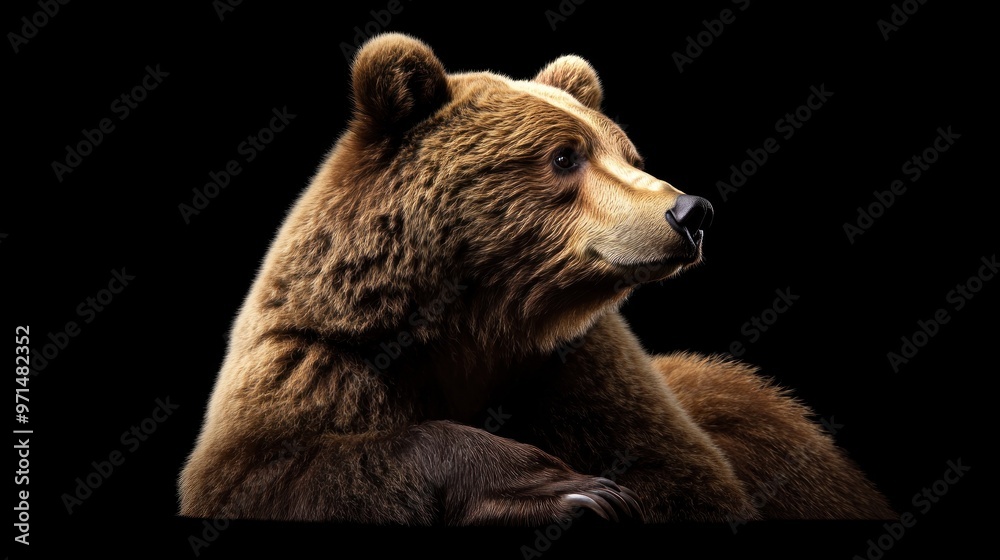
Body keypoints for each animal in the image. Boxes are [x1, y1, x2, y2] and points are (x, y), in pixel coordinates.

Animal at [178, 32, 895, 524]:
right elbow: (268, 473)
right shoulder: (323, 359)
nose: (691, 212)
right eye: (563, 156)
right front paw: (560, 488)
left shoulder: (579, 372)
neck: (475, 325)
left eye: (627, 152)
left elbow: (685, 480)